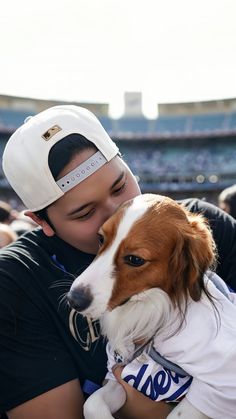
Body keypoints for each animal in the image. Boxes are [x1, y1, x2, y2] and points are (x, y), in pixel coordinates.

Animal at [67, 195, 236, 418]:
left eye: (135, 259)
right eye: (101, 239)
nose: (73, 299)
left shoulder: (221, 382)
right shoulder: (120, 374)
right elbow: (92, 404)